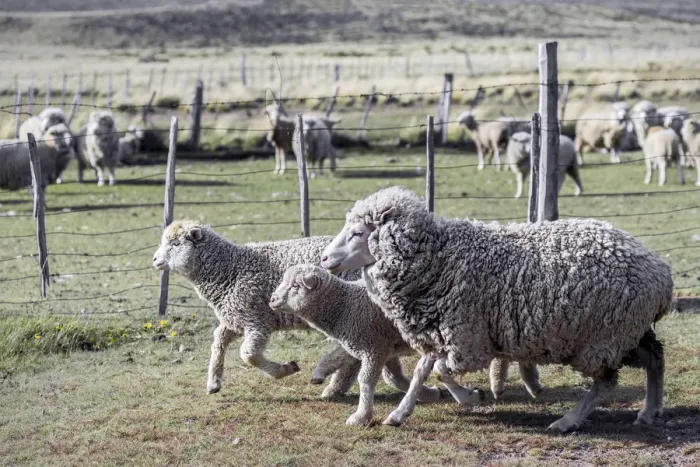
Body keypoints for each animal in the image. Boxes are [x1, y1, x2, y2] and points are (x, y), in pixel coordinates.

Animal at [151, 219, 390, 399]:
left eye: (175, 244)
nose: (154, 260)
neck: (229, 270)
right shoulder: (236, 319)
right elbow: (218, 341)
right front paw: (214, 383)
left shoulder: (257, 321)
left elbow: (248, 355)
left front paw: (285, 369)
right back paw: (338, 388)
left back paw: (332, 386)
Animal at [269, 264, 486, 425]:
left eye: (295, 286)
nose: (272, 299)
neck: (344, 307)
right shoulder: (379, 346)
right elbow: (392, 377)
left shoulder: (373, 347)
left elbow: (366, 380)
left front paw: (361, 416)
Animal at [320, 186, 672, 432]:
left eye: (357, 233)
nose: (324, 259)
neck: (438, 259)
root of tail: (660, 272)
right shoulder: (440, 331)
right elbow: (422, 371)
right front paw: (398, 414)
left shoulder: (468, 339)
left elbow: (440, 370)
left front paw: (470, 397)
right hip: (628, 331)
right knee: (654, 357)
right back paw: (648, 412)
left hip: (602, 337)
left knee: (606, 382)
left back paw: (567, 422)